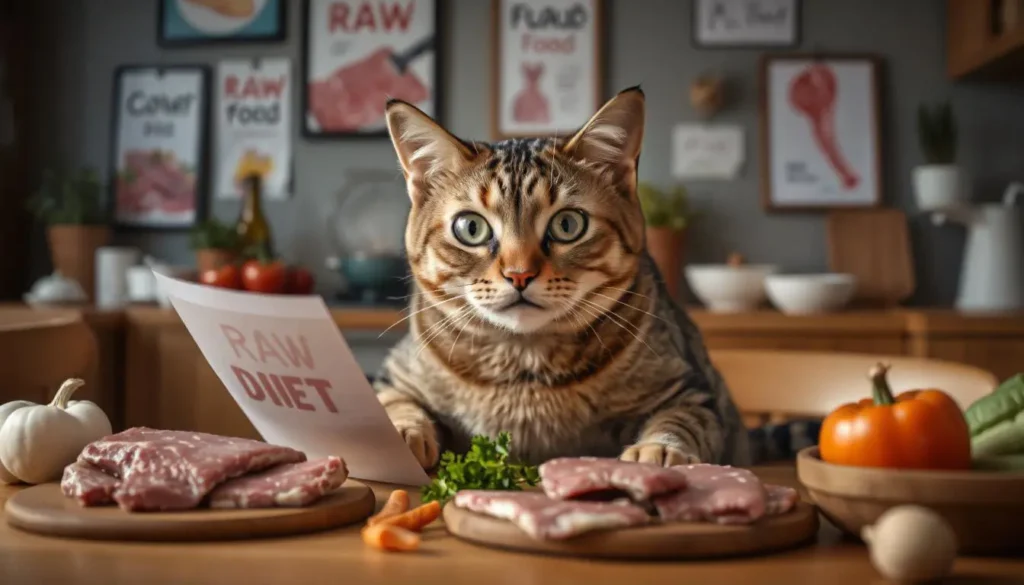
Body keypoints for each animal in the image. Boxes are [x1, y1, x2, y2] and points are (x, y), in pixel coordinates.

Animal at [372, 87, 749, 471]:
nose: (519, 274)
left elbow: (679, 422)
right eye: (471, 228)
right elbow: (393, 405)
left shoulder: (692, 390)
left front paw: (656, 450)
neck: (523, 366)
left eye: (568, 224)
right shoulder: (393, 377)